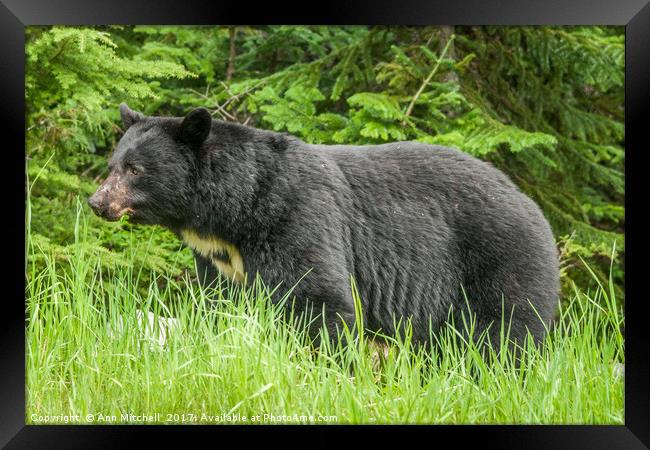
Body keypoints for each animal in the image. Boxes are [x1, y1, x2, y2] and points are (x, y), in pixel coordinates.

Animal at [88, 103, 560, 350]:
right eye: (113, 165)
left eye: (135, 169)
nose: (97, 202)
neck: (236, 210)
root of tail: (530, 202)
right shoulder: (220, 261)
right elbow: (218, 303)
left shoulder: (297, 215)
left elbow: (317, 298)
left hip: (499, 257)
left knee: (506, 329)